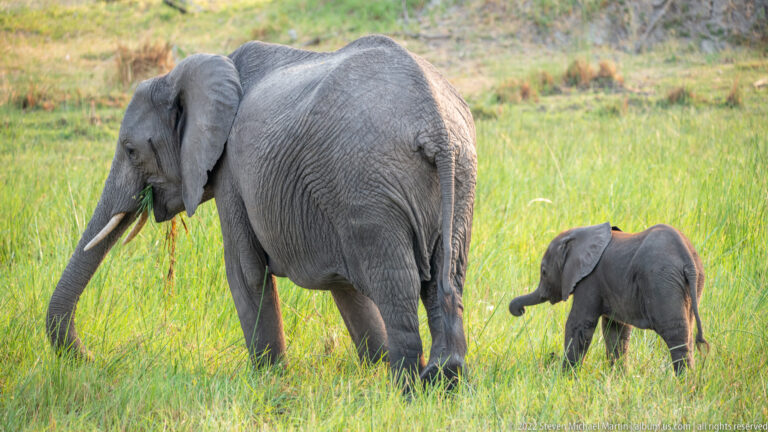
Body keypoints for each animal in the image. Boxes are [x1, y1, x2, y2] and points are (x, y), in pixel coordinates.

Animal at [46, 35, 477, 385]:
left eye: (131, 150)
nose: (92, 358)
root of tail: (435, 126)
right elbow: (344, 285)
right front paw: (372, 366)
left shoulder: (233, 173)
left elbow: (245, 270)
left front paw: (269, 379)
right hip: (457, 179)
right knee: (447, 276)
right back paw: (442, 380)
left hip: (369, 184)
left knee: (397, 286)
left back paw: (405, 390)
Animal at [508, 223, 708, 375]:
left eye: (543, 271)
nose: (519, 310)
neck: (582, 233)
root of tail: (688, 259)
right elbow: (615, 330)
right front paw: (619, 378)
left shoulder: (589, 280)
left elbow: (579, 325)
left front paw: (564, 378)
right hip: (693, 284)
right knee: (688, 332)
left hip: (661, 282)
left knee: (676, 333)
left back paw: (683, 382)